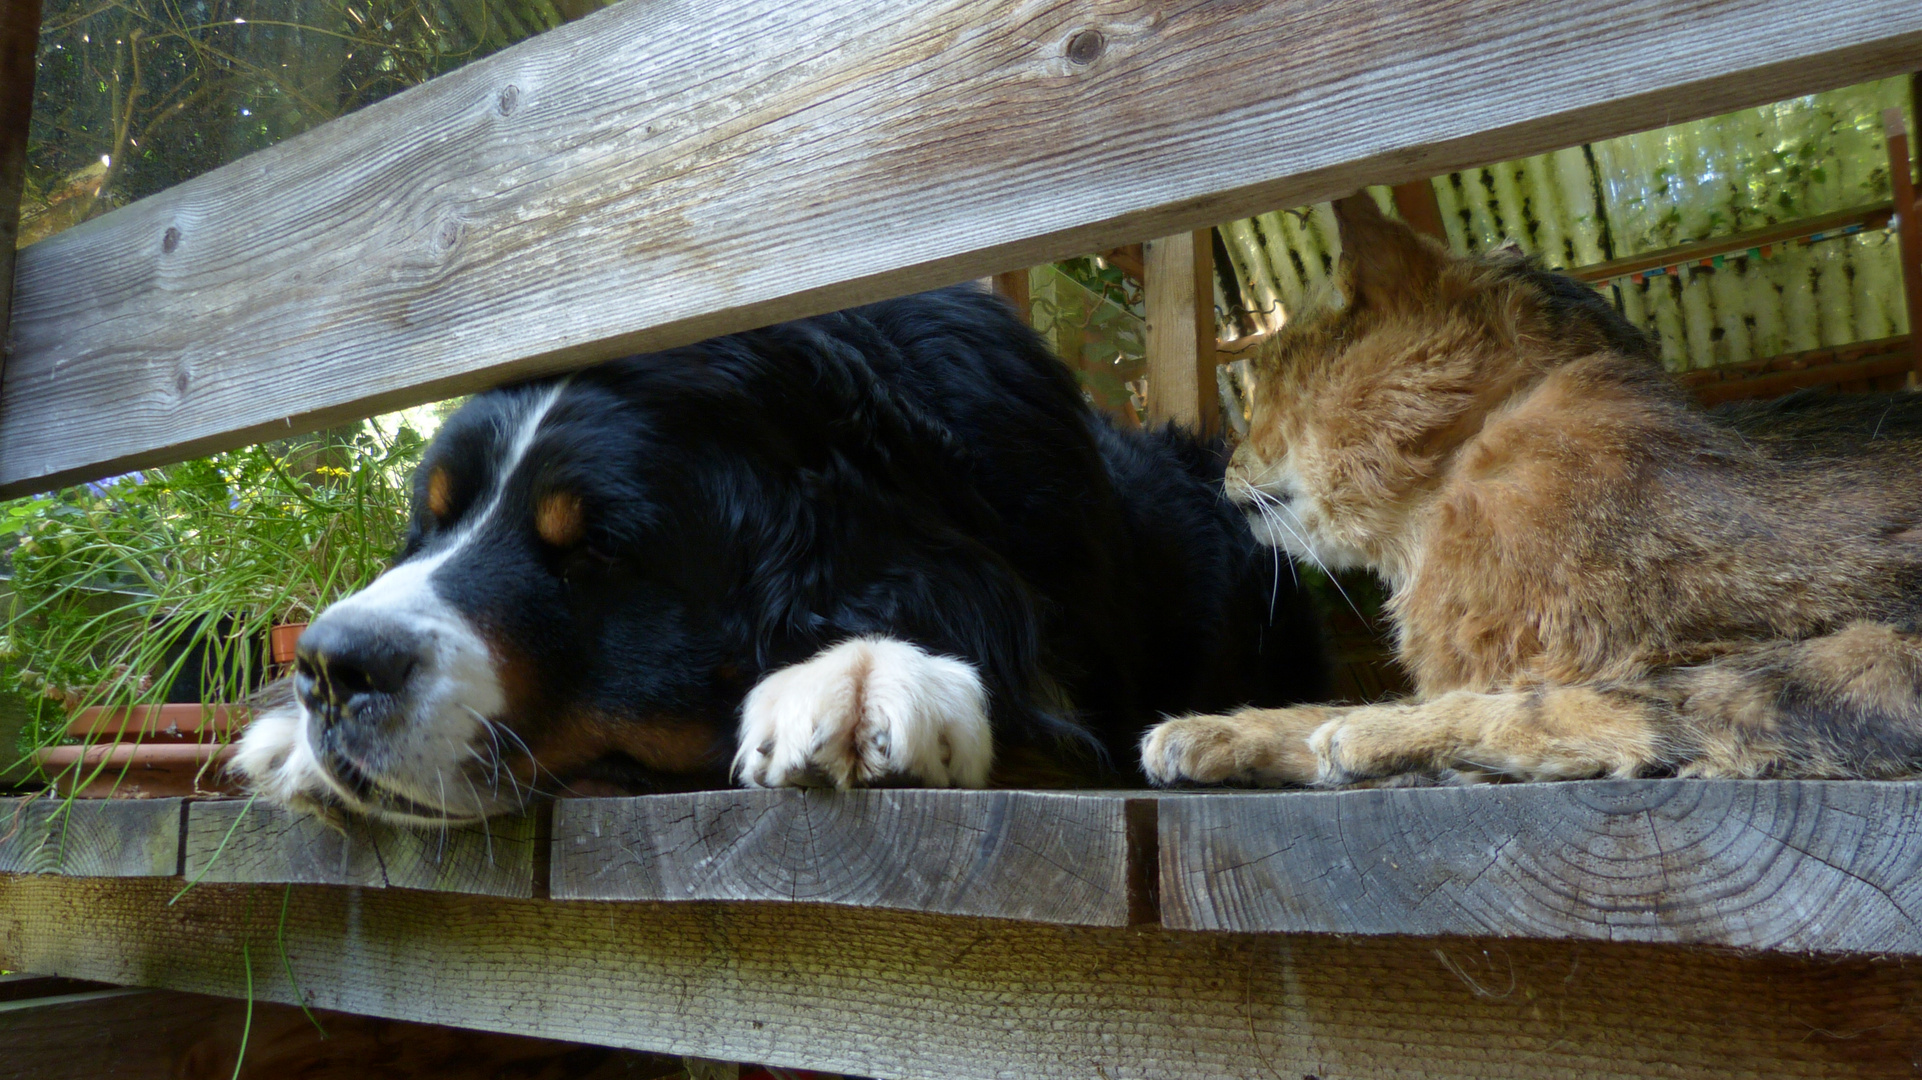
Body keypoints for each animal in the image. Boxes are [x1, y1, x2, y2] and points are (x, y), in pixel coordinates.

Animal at [1137, 191, 1922, 780]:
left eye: (1262, 388)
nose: (1222, 460)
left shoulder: (1870, 655)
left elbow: (1589, 697)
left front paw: (1385, 735)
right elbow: (1328, 706)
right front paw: (1215, 731)